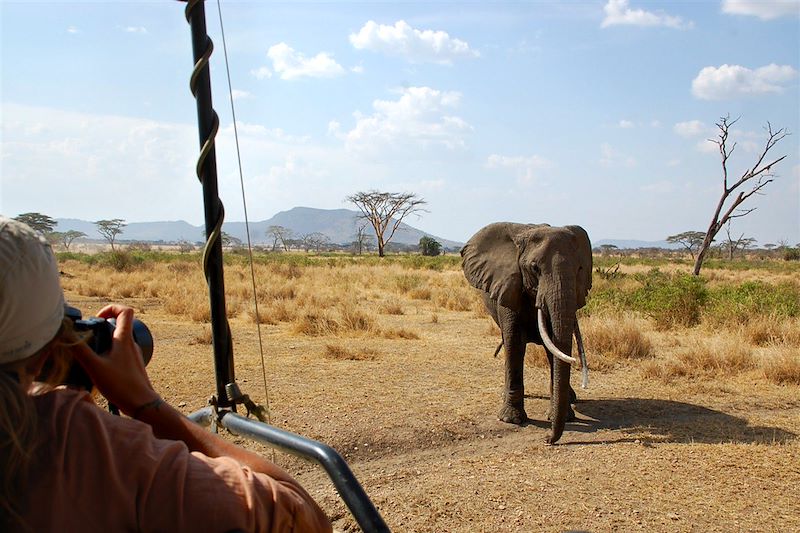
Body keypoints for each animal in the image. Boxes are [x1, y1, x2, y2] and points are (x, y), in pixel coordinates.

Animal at [462, 222, 592, 442]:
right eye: (534, 268)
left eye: (580, 269)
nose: (547, 439)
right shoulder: (508, 286)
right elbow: (514, 344)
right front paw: (511, 420)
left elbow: (554, 346)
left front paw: (563, 416)